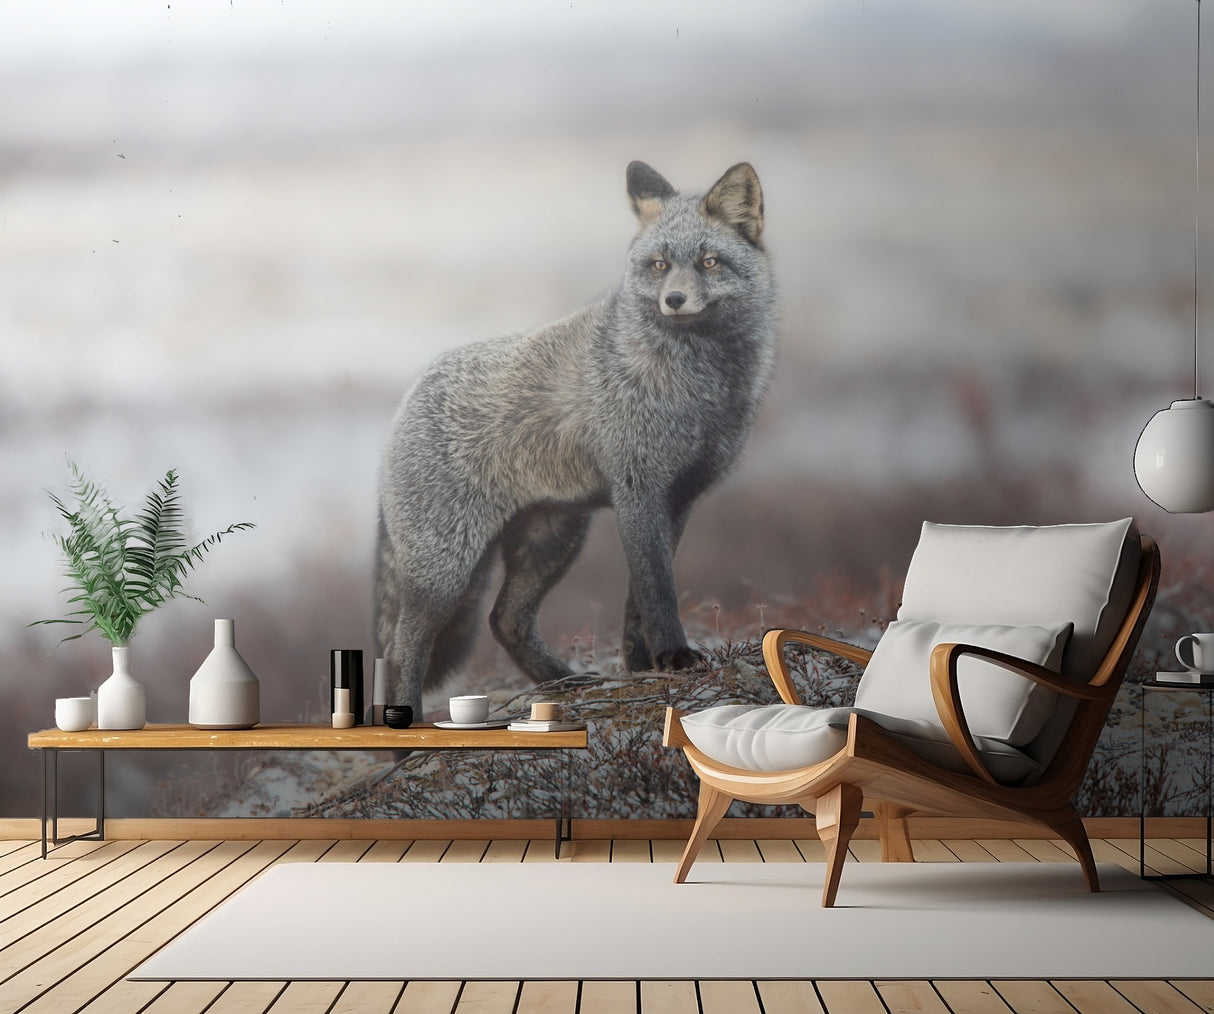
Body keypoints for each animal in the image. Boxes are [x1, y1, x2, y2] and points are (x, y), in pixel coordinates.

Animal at [375, 160, 777, 718]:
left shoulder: (680, 496)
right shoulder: (638, 489)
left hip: (554, 541)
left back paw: (563, 683)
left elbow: (638, 598)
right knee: (400, 649)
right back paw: (407, 729)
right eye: (658, 265)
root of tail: (405, 398)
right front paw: (672, 656)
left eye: (709, 261)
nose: (673, 300)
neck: (700, 388)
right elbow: (659, 589)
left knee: (505, 621)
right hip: (447, 570)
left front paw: (642, 665)